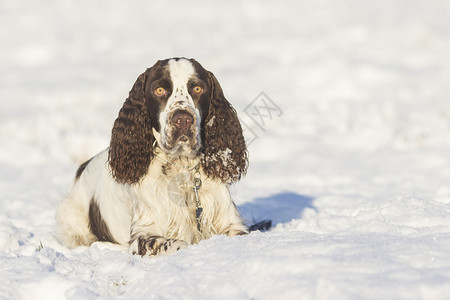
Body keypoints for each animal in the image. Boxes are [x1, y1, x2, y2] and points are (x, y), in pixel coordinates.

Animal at [56, 58, 250, 255]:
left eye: (197, 88)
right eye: (160, 90)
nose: (182, 119)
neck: (181, 167)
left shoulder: (231, 223)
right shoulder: (142, 234)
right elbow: (179, 244)